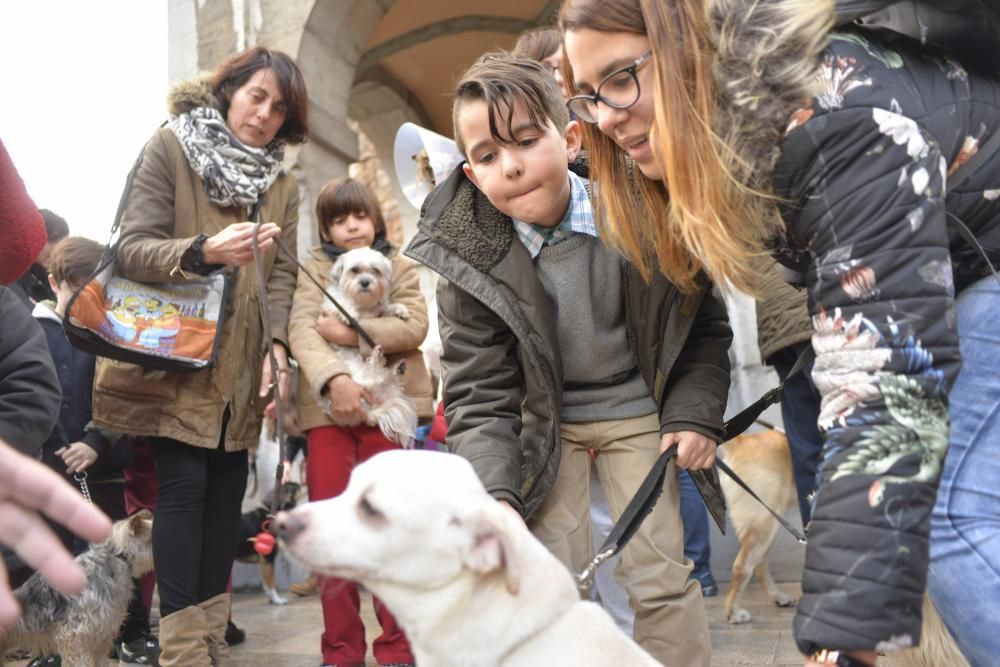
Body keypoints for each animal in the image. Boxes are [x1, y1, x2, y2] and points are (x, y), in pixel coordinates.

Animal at [324, 248, 418, 446]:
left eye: (375, 270)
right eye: (354, 270)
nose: (365, 282)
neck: (363, 305)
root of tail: (368, 413)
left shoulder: (378, 311)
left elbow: (386, 308)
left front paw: (399, 310)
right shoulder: (331, 307)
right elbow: (342, 305)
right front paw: (348, 313)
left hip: (382, 384)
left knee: (387, 378)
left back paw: (396, 368)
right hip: (358, 378)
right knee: (372, 376)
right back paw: (377, 357)